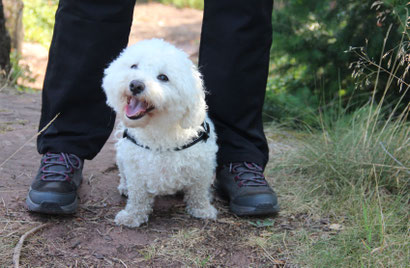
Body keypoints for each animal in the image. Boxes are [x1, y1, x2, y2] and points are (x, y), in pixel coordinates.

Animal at [101, 38, 219, 227]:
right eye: (134, 66)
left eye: (163, 77)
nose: (135, 84)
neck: (160, 131)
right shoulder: (136, 171)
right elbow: (138, 197)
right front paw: (132, 216)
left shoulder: (202, 167)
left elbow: (198, 192)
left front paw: (202, 209)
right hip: (122, 159)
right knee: (124, 176)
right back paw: (124, 187)